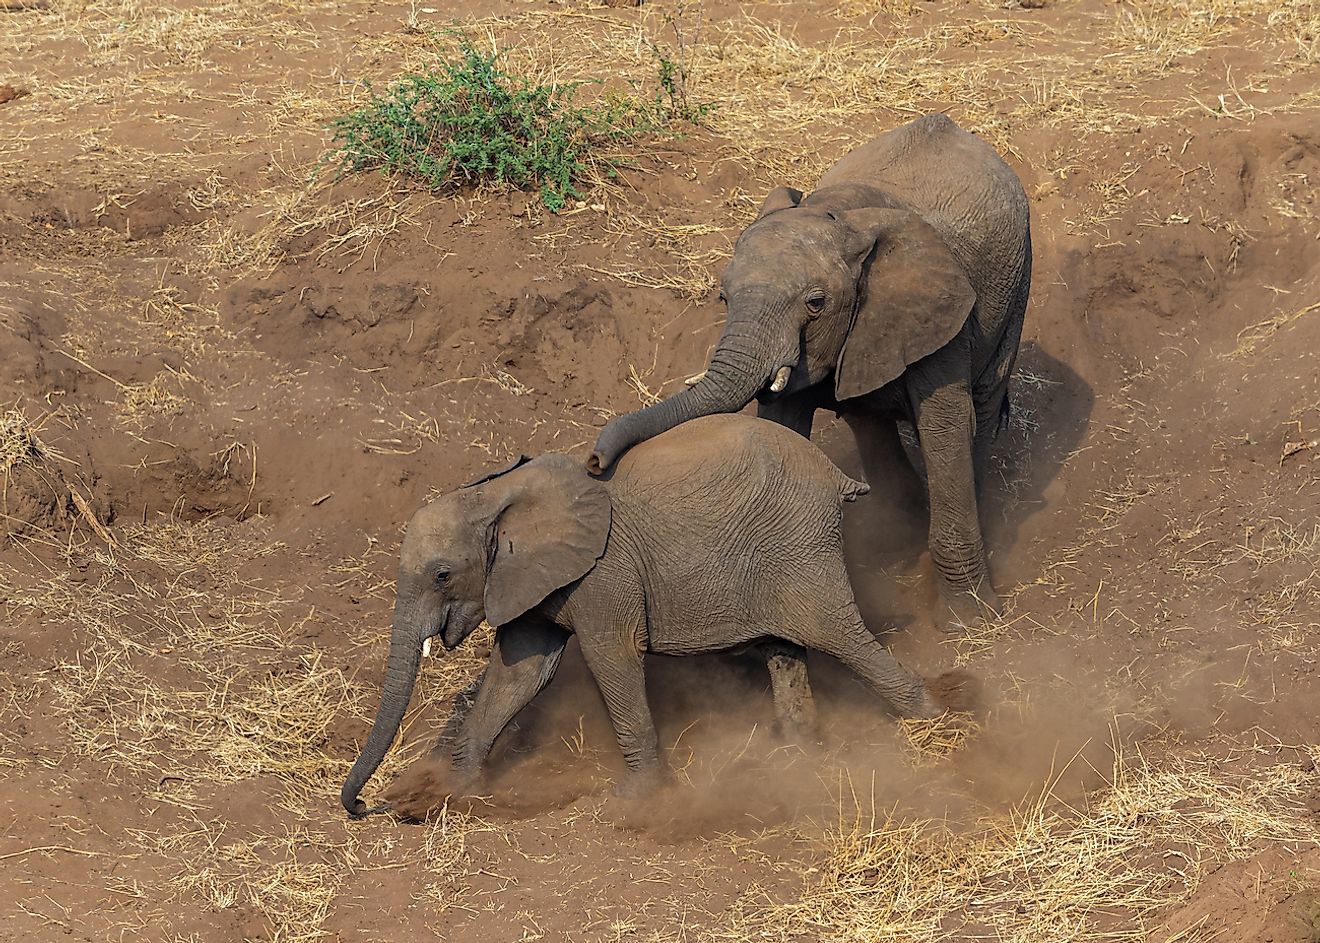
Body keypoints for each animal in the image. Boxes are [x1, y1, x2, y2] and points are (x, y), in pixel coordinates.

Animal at [337, 412, 939, 813]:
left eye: (441, 575)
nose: (368, 806)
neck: (497, 494)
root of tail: (834, 473)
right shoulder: (530, 577)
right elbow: (521, 673)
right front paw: (448, 790)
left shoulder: (603, 573)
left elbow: (612, 657)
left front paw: (635, 799)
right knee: (786, 649)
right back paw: (797, 752)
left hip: (799, 540)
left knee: (838, 635)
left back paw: (935, 722)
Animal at [588, 117, 1029, 631]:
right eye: (723, 297)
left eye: (816, 303)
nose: (594, 463)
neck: (841, 219)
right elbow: (782, 424)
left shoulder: (936, 313)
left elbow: (946, 425)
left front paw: (968, 625)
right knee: (867, 418)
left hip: (1015, 283)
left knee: (984, 398)